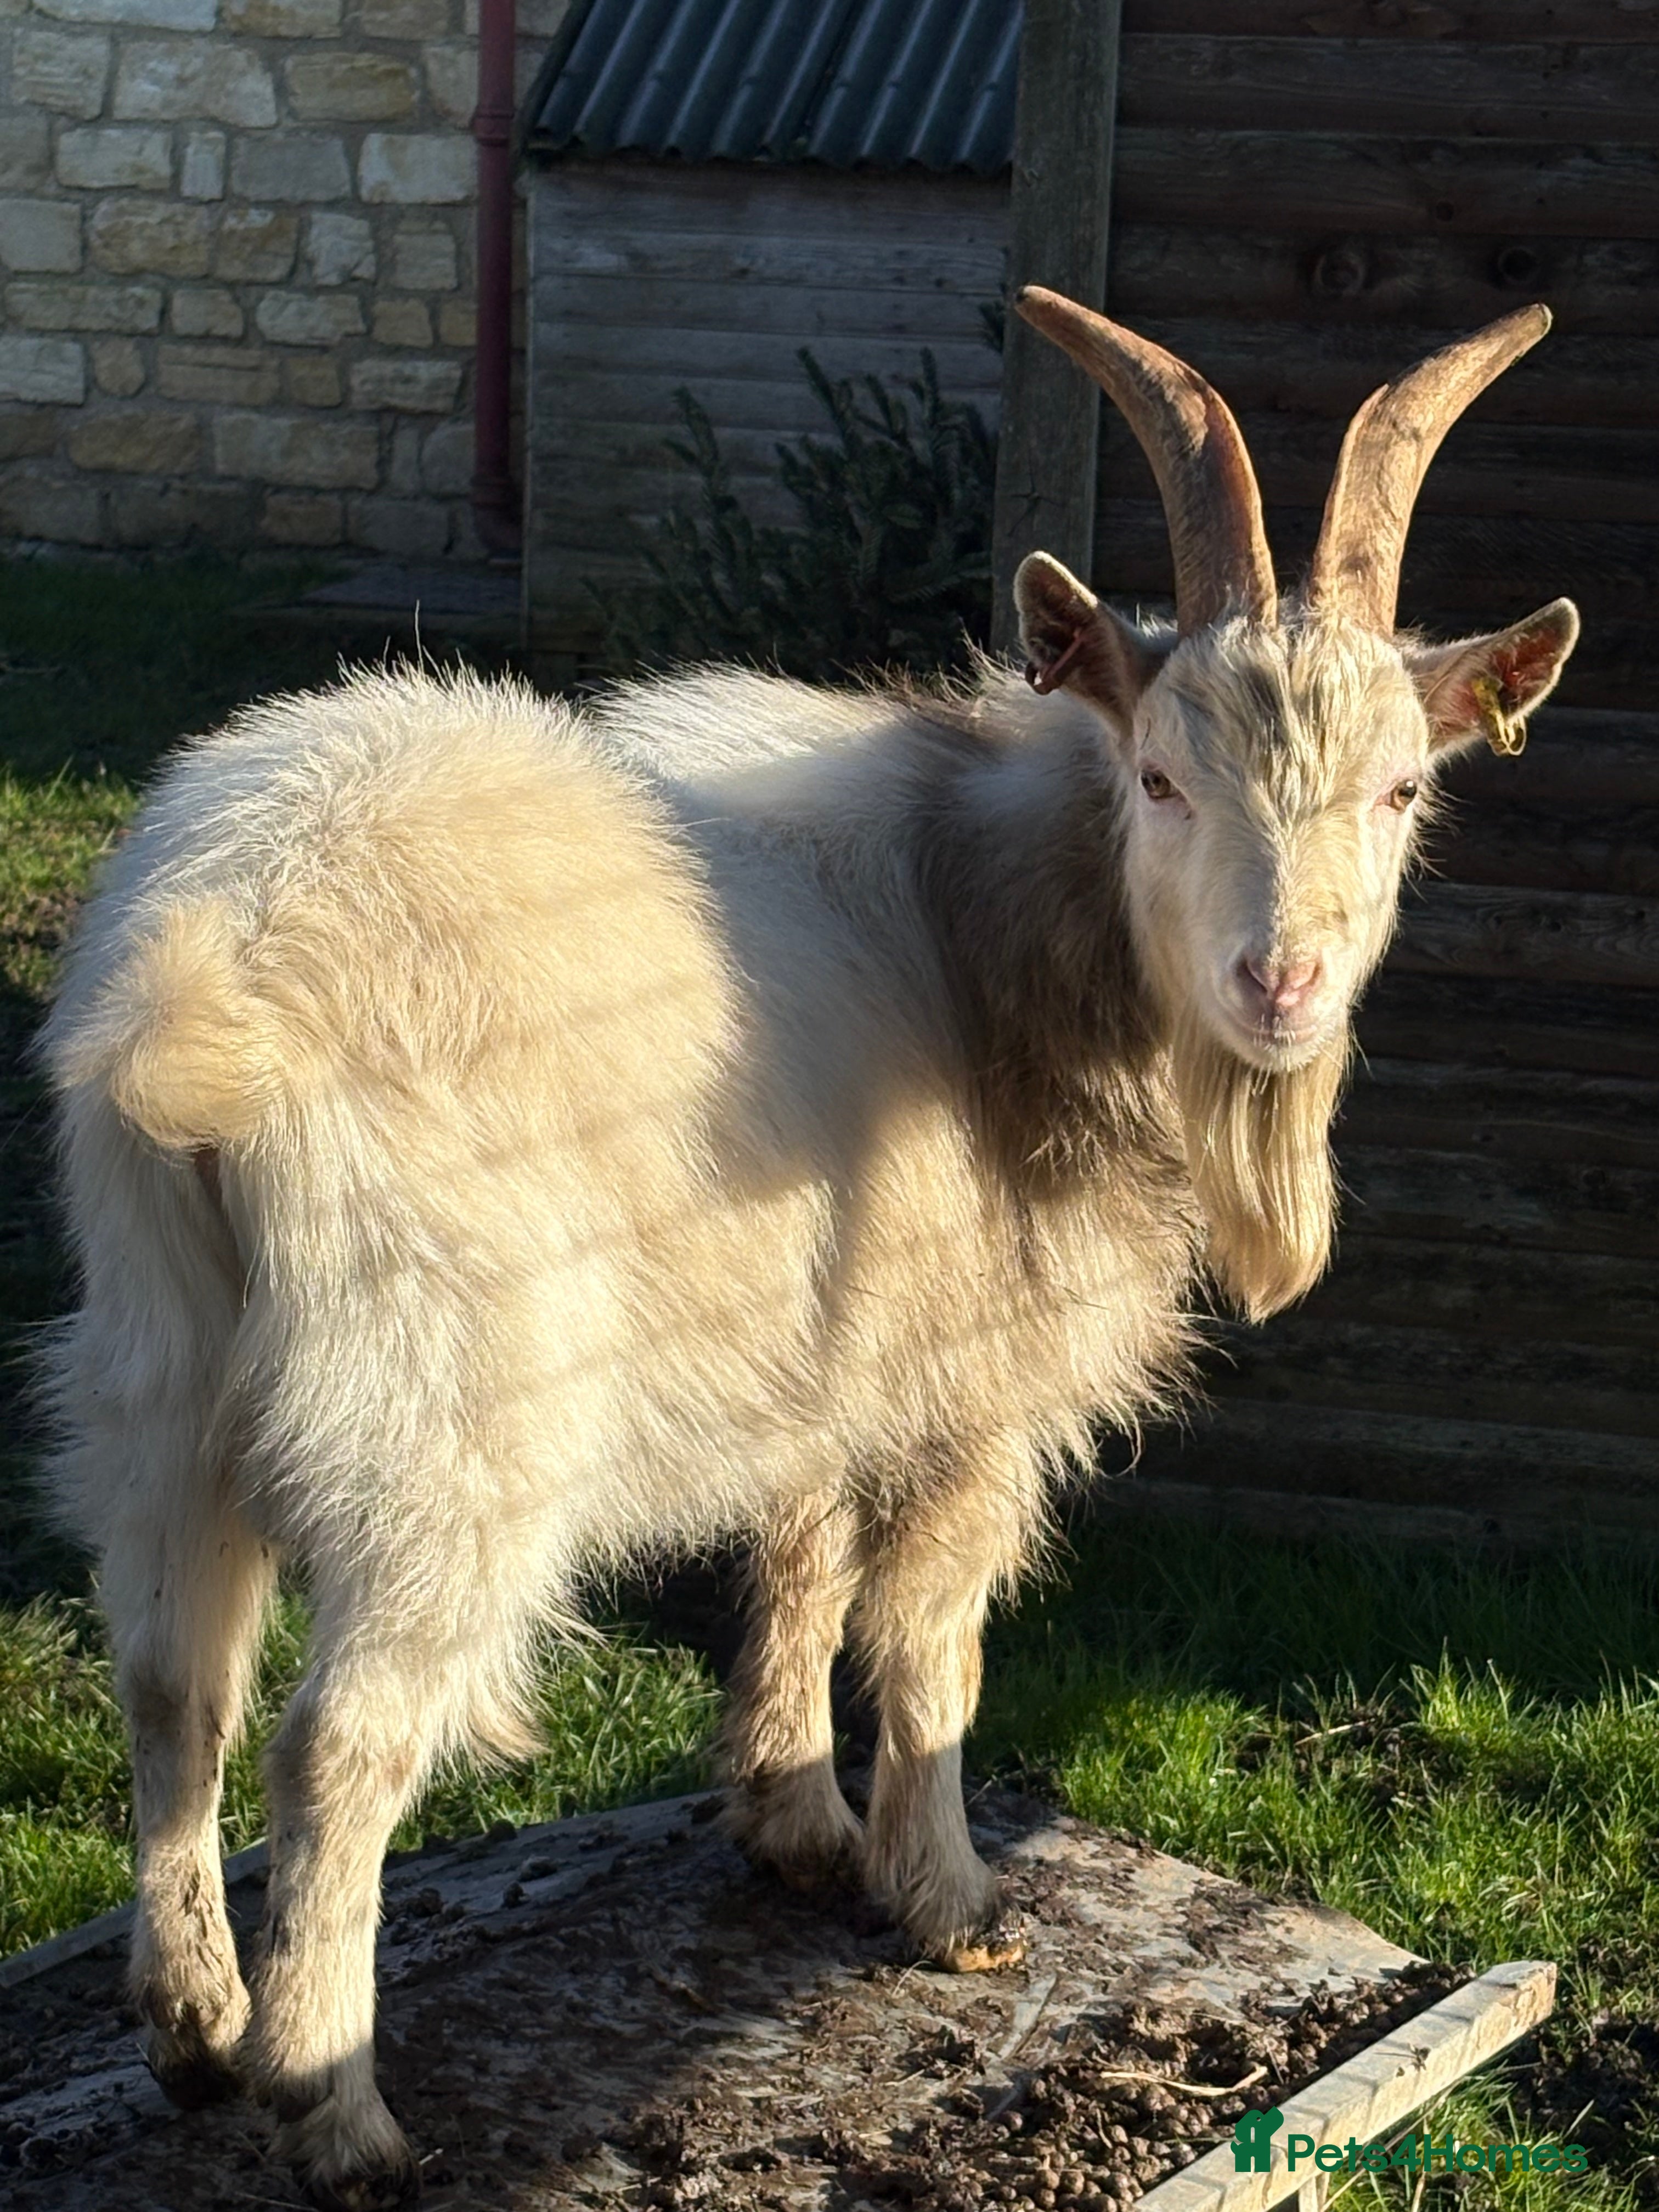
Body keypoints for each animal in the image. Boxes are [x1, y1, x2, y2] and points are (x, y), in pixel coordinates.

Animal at [43, 295, 1576, 2211]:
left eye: (1400, 789)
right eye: (1160, 776)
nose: (1279, 985)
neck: (994, 918)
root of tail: (213, 972)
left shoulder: (823, 1345)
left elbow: (797, 1561)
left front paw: (794, 1819)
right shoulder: (977, 1382)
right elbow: (927, 1636)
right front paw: (949, 1898)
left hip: (157, 1368)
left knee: (172, 1679)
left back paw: (189, 2027)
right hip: (445, 1419)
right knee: (339, 1744)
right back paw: (333, 2106)